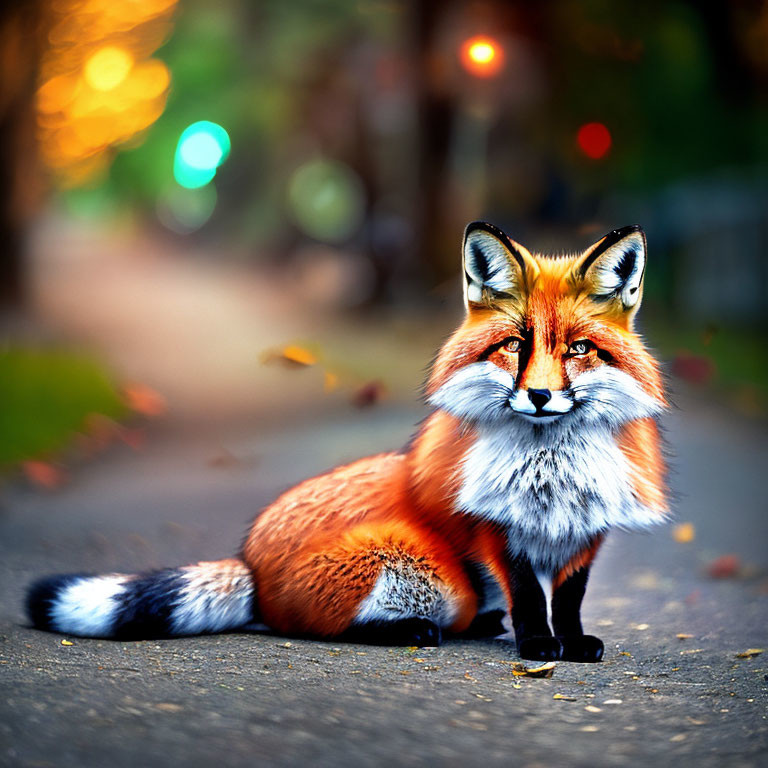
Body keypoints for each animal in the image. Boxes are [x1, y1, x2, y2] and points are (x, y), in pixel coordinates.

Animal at [27, 220, 664, 660]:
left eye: (578, 349)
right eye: (514, 344)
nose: (537, 396)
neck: (551, 477)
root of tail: (251, 561)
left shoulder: (588, 529)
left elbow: (570, 599)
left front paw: (572, 642)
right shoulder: (495, 528)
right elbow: (530, 597)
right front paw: (537, 646)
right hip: (432, 579)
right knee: (314, 626)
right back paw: (414, 630)